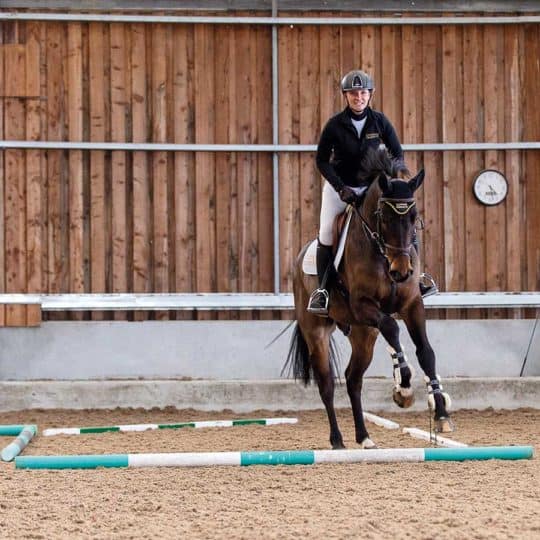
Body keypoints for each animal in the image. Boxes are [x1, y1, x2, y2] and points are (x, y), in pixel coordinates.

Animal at [284, 147, 454, 448]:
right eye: (383, 218)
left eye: (414, 217)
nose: (401, 271)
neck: (382, 253)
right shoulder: (363, 305)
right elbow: (392, 327)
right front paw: (404, 387)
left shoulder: (412, 304)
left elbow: (425, 351)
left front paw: (441, 412)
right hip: (316, 331)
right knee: (327, 384)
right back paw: (337, 440)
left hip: (363, 334)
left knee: (353, 380)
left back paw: (364, 437)